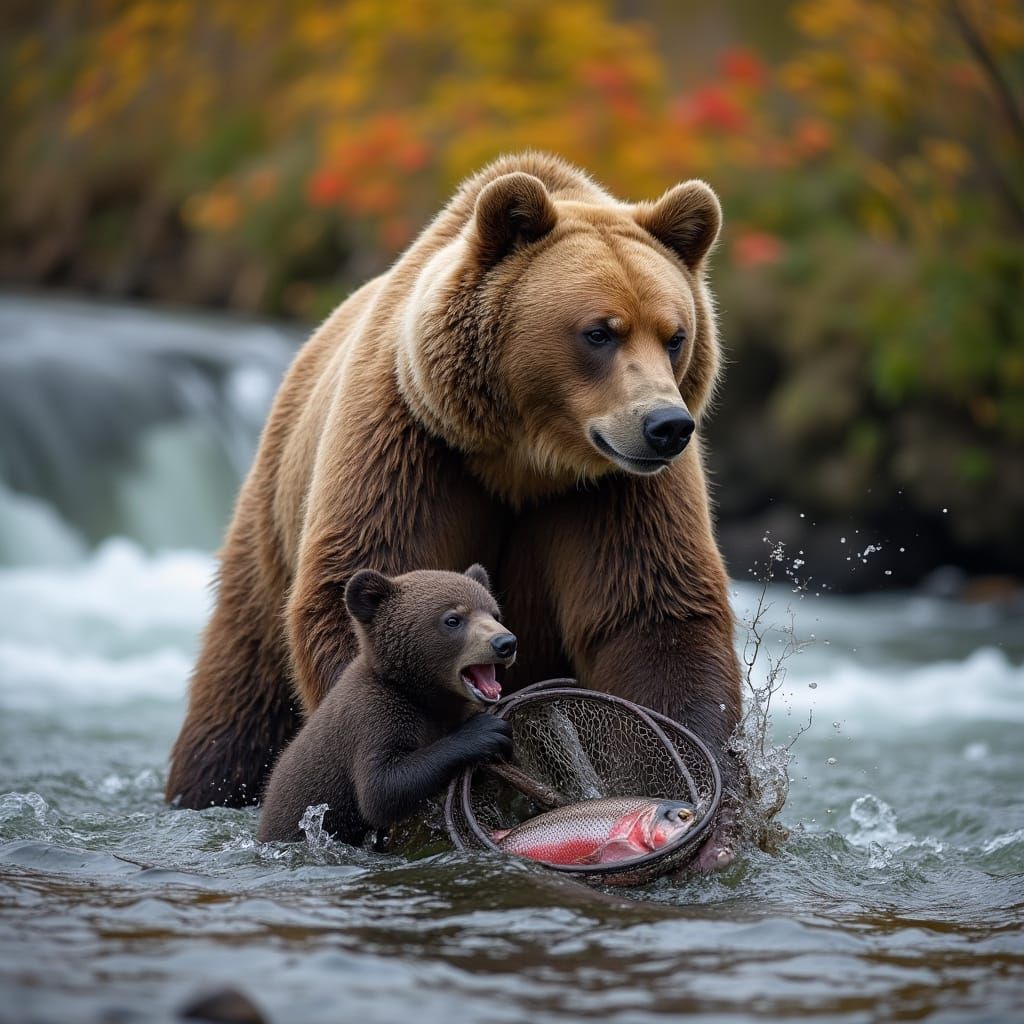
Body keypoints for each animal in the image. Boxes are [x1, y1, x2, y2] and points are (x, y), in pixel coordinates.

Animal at [257, 565, 515, 844]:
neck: (421, 695)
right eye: (453, 619)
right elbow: (381, 788)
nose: (505, 643)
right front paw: (487, 730)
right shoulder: (373, 714)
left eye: (495, 612)